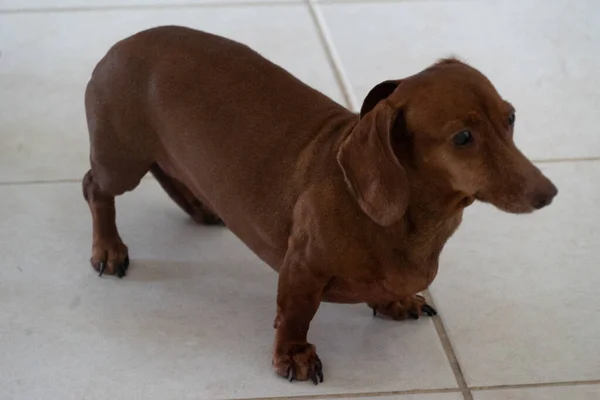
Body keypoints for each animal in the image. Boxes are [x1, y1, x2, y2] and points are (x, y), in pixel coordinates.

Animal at [81, 25, 556, 384]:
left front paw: (395, 302)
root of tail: (120, 45)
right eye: (462, 137)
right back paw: (109, 249)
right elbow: (296, 314)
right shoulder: (302, 268)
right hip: (120, 162)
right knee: (94, 188)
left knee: (167, 172)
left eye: (511, 117)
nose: (548, 193)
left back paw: (200, 206)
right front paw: (293, 355)